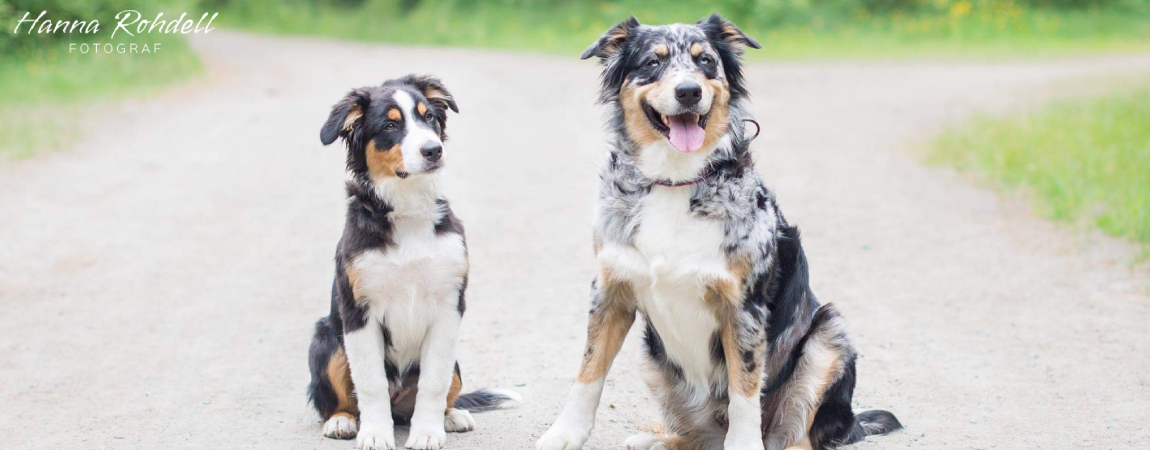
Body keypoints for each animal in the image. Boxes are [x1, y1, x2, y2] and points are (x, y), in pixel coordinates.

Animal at [308, 74, 519, 450]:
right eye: (391, 125)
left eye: (429, 118)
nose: (433, 150)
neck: (408, 209)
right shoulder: (358, 311)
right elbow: (371, 383)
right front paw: (375, 434)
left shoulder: (449, 305)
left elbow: (433, 383)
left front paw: (427, 433)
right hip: (326, 338)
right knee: (339, 398)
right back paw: (342, 421)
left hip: (455, 361)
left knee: (444, 388)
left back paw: (452, 416)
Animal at [533, 15, 901, 450]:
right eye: (653, 62)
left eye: (705, 60)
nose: (688, 91)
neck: (674, 180)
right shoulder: (610, 290)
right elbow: (589, 371)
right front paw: (563, 434)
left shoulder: (742, 308)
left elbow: (744, 390)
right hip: (653, 359)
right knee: (700, 436)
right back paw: (656, 440)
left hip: (829, 335)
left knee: (797, 437)